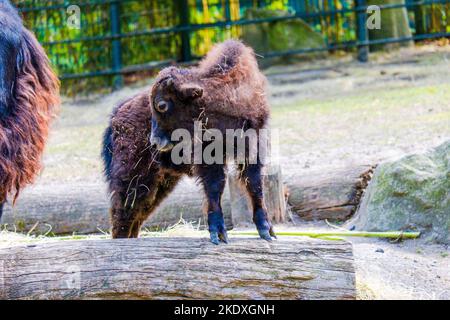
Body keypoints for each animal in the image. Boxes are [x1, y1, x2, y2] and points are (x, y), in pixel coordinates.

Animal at [103, 40, 274, 245]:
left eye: (161, 105)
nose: (154, 141)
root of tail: (118, 114)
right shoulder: (209, 159)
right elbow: (215, 189)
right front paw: (218, 234)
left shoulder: (253, 151)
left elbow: (255, 187)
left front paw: (267, 231)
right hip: (133, 179)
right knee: (123, 215)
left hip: (159, 183)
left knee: (136, 215)